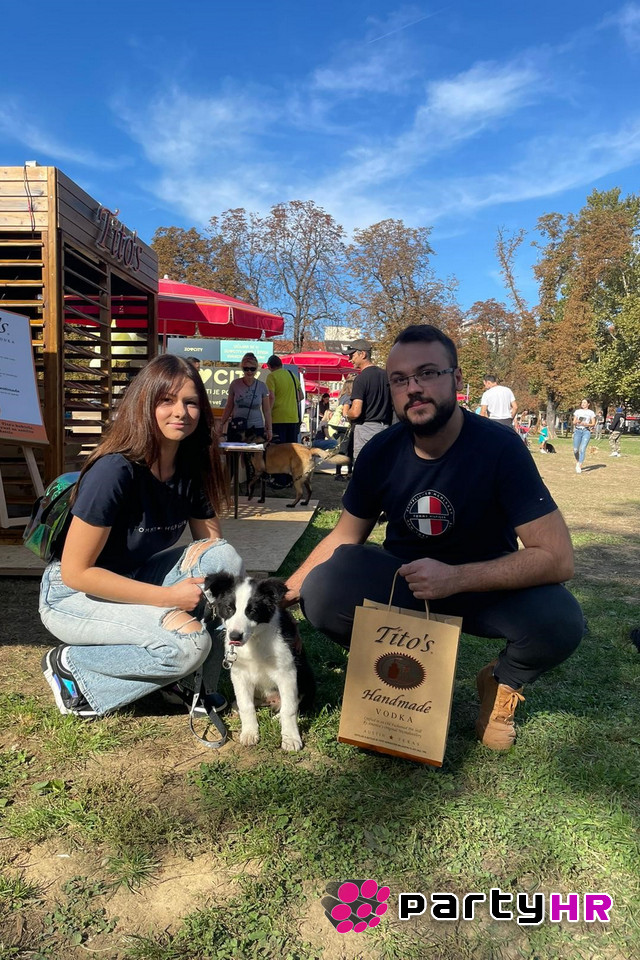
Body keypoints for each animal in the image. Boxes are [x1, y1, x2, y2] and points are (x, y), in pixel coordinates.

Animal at [204, 572, 315, 751]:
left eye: (252, 611)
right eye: (229, 608)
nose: (234, 637)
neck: (254, 640)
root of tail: (270, 701)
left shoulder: (287, 673)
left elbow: (289, 709)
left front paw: (290, 738)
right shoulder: (239, 674)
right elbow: (246, 706)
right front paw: (250, 732)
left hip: (306, 677)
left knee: (296, 704)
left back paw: (278, 719)